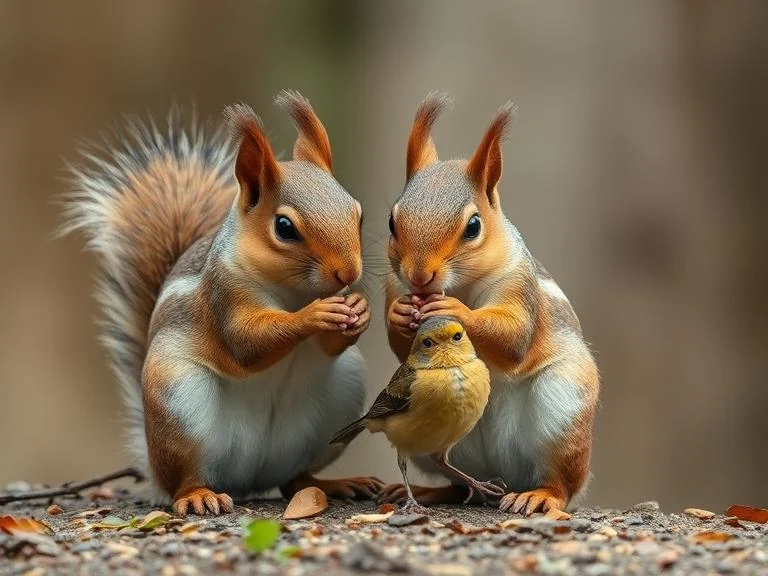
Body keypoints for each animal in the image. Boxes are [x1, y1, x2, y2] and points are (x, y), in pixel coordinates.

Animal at [62, 91, 383, 516]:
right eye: (284, 227)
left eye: (358, 213)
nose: (348, 273)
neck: (292, 291)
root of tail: (248, 479)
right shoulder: (224, 294)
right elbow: (247, 343)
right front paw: (316, 315)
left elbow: (329, 345)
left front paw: (358, 311)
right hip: (177, 399)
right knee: (185, 479)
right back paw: (198, 495)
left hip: (341, 398)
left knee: (295, 479)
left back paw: (338, 483)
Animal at [380, 93, 600, 518]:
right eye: (391, 222)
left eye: (473, 226)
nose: (419, 276)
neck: (460, 285)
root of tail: (506, 476)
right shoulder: (393, 285)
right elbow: (403, 346)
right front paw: (398, 315)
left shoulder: (519, 286)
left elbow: (513, 337)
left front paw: (456, 311)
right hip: (432, 441)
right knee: (452, 475)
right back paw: (429, 492)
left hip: (564, 407)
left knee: (562, 484)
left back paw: (540, 495)